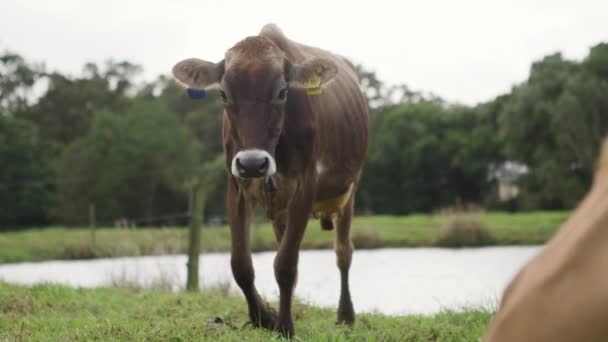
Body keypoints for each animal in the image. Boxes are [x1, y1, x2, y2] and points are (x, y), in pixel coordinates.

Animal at [172, 24, 370, 336]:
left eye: (282, 91)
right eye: (224, 94)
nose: (253, 162)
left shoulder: (306, 183)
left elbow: (286, 264)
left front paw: (285, 326)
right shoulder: (236, 184)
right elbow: (241, 264)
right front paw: (263, 316)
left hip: (349, 188)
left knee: (343, 252)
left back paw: (345, 315)